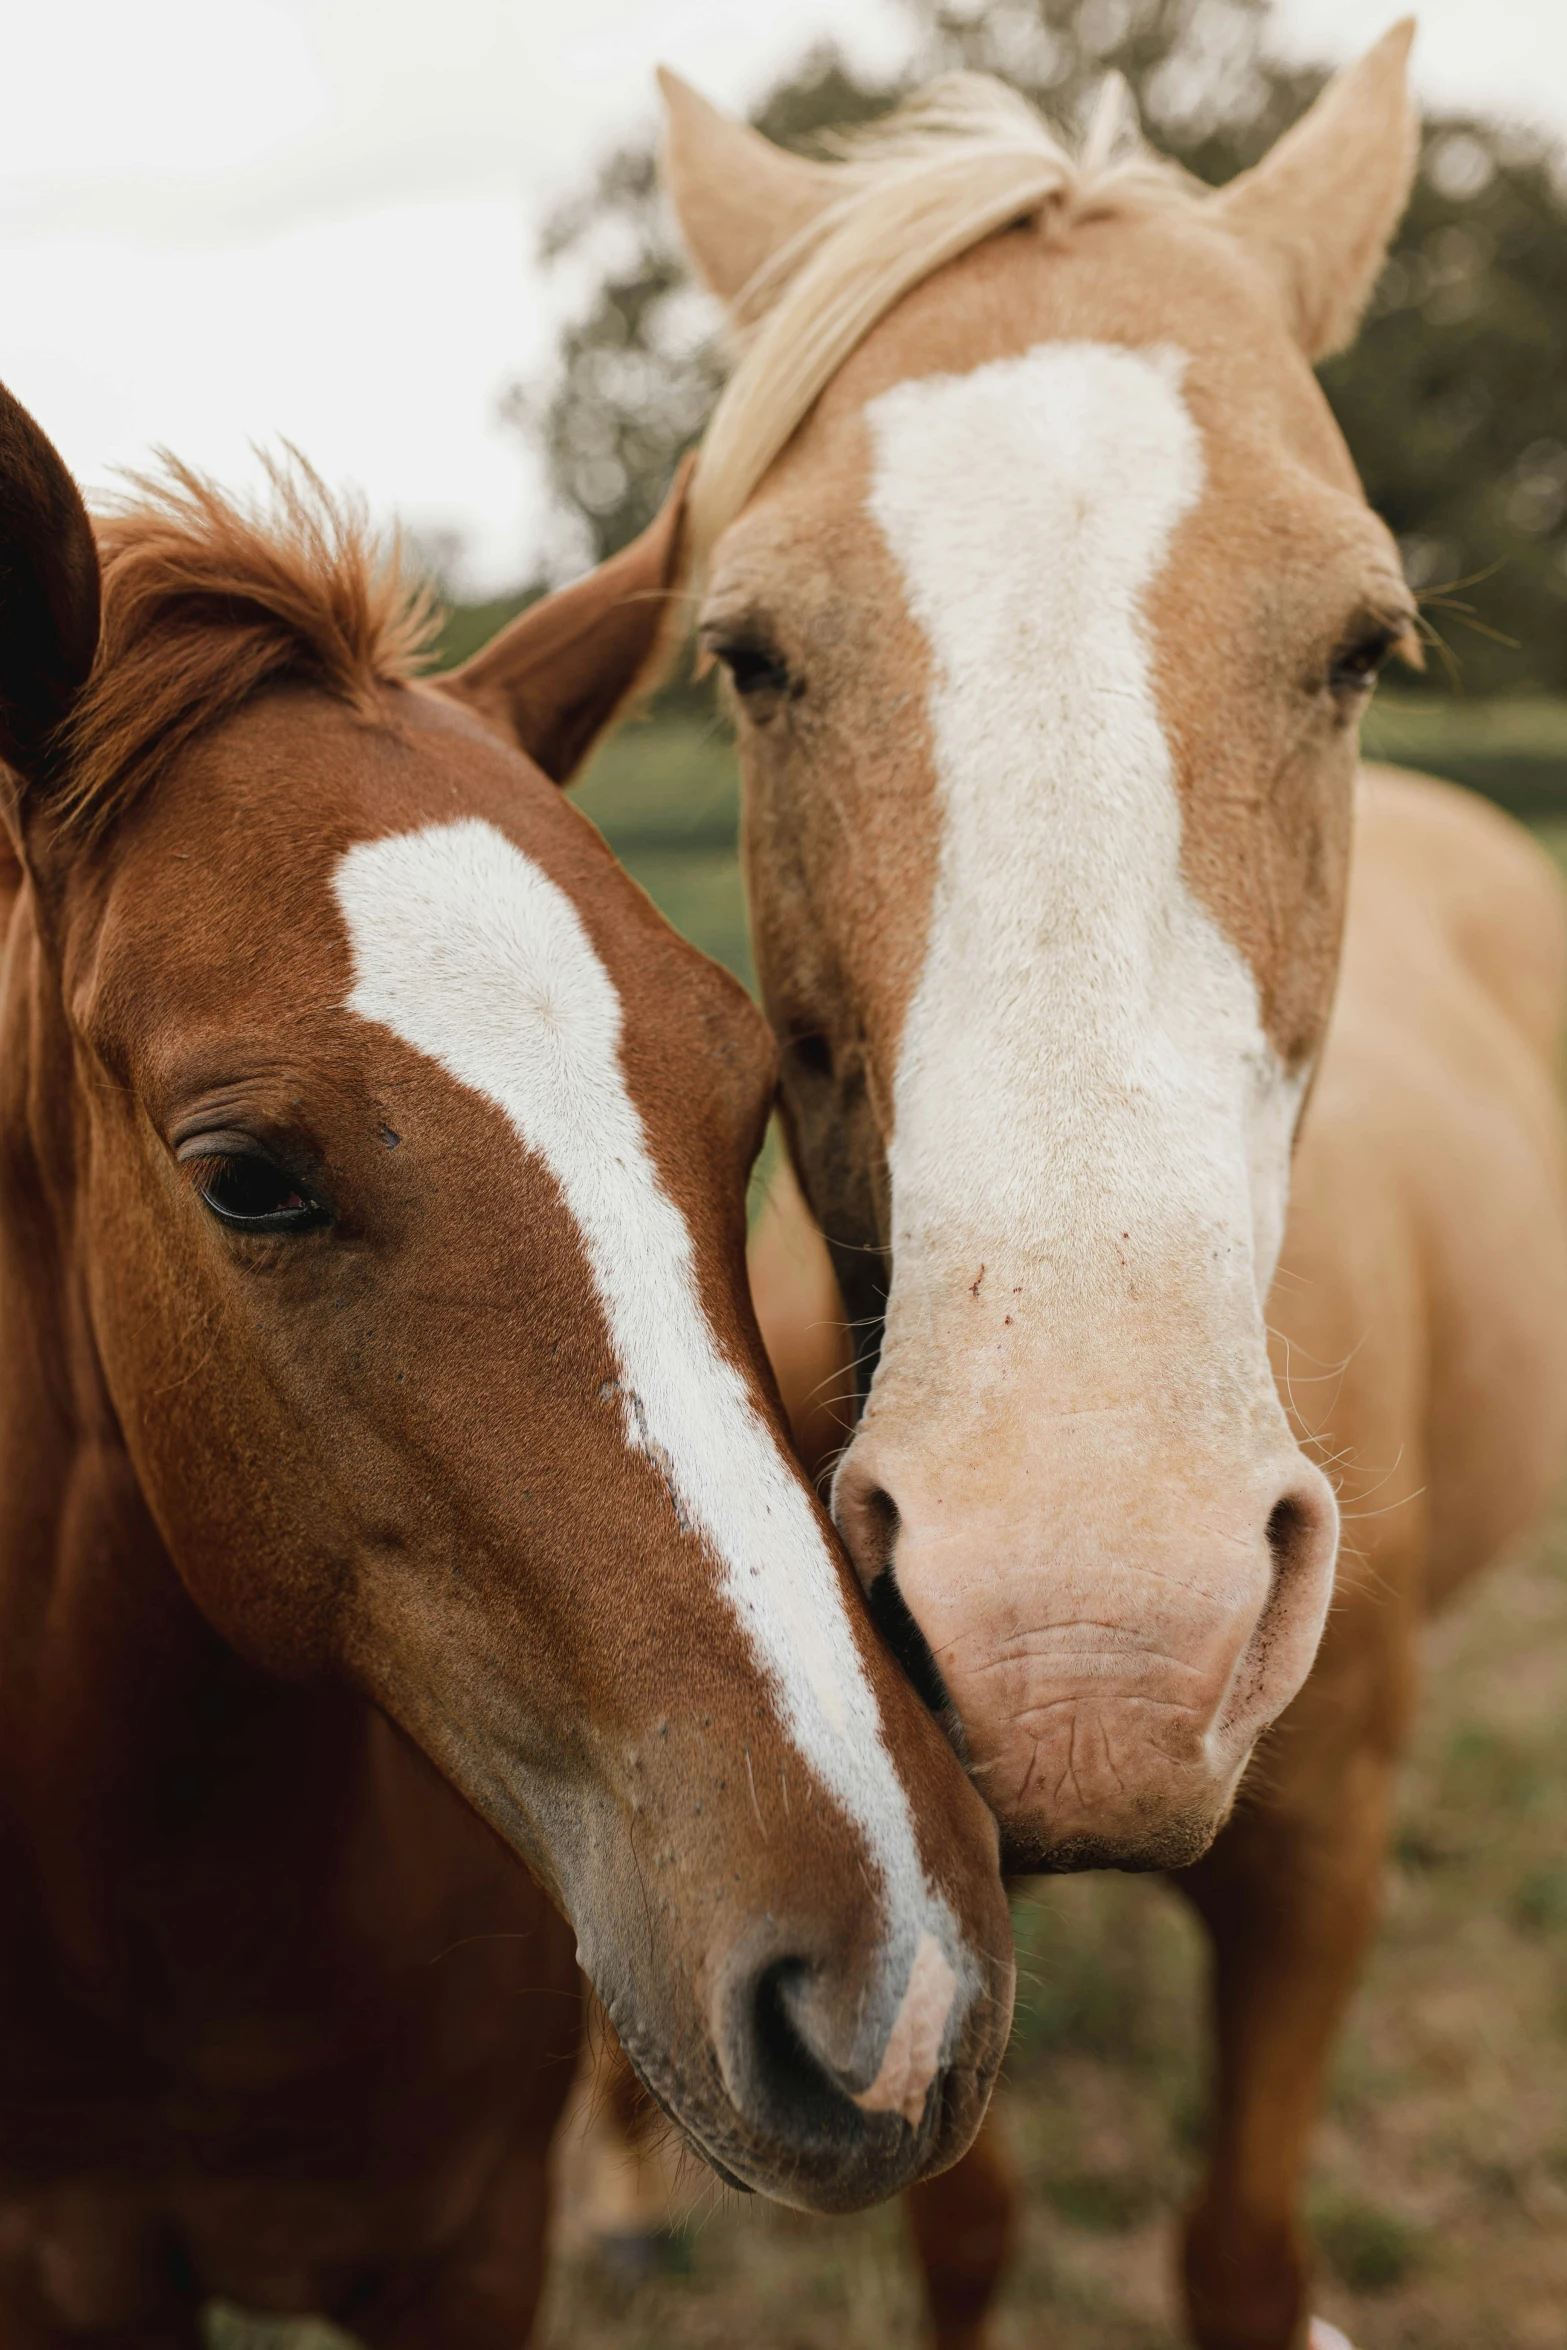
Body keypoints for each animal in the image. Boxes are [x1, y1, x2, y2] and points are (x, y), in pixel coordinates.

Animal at [657, 22, 1567, 2350]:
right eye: (747, 655)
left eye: (1360, 645)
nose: (1089, 1641)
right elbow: (962, 2235)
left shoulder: (1322, 1862)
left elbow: (1237, 2253)